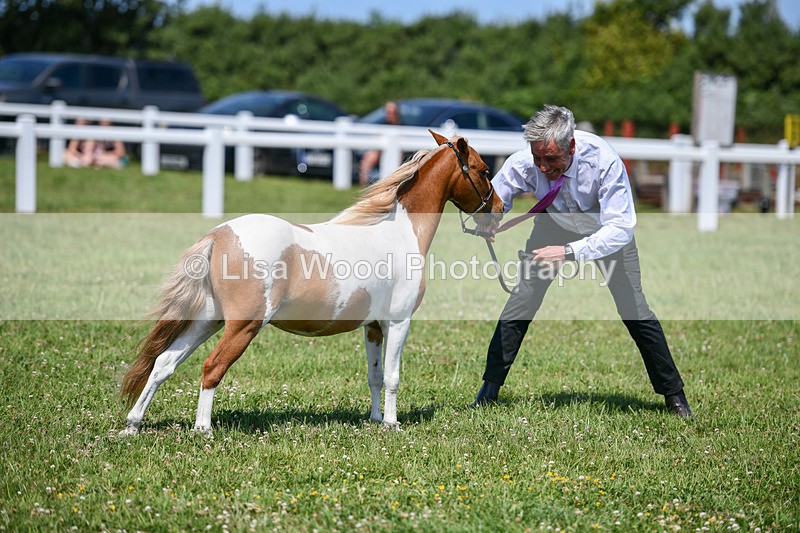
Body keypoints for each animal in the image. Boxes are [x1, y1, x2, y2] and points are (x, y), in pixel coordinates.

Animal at [119, 130, 503, 435]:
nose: (499, 208)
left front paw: (376, 419)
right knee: (212, 367)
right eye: (484, 171)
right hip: (242, 325)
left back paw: (132, 425)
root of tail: (220, 234)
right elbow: (393, 377)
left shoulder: (373, 327)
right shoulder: (398, 322)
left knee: (164, 363)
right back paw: (203, 429)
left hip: (206, 320)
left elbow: (375, 376)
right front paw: (393, 424)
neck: (400, 231)